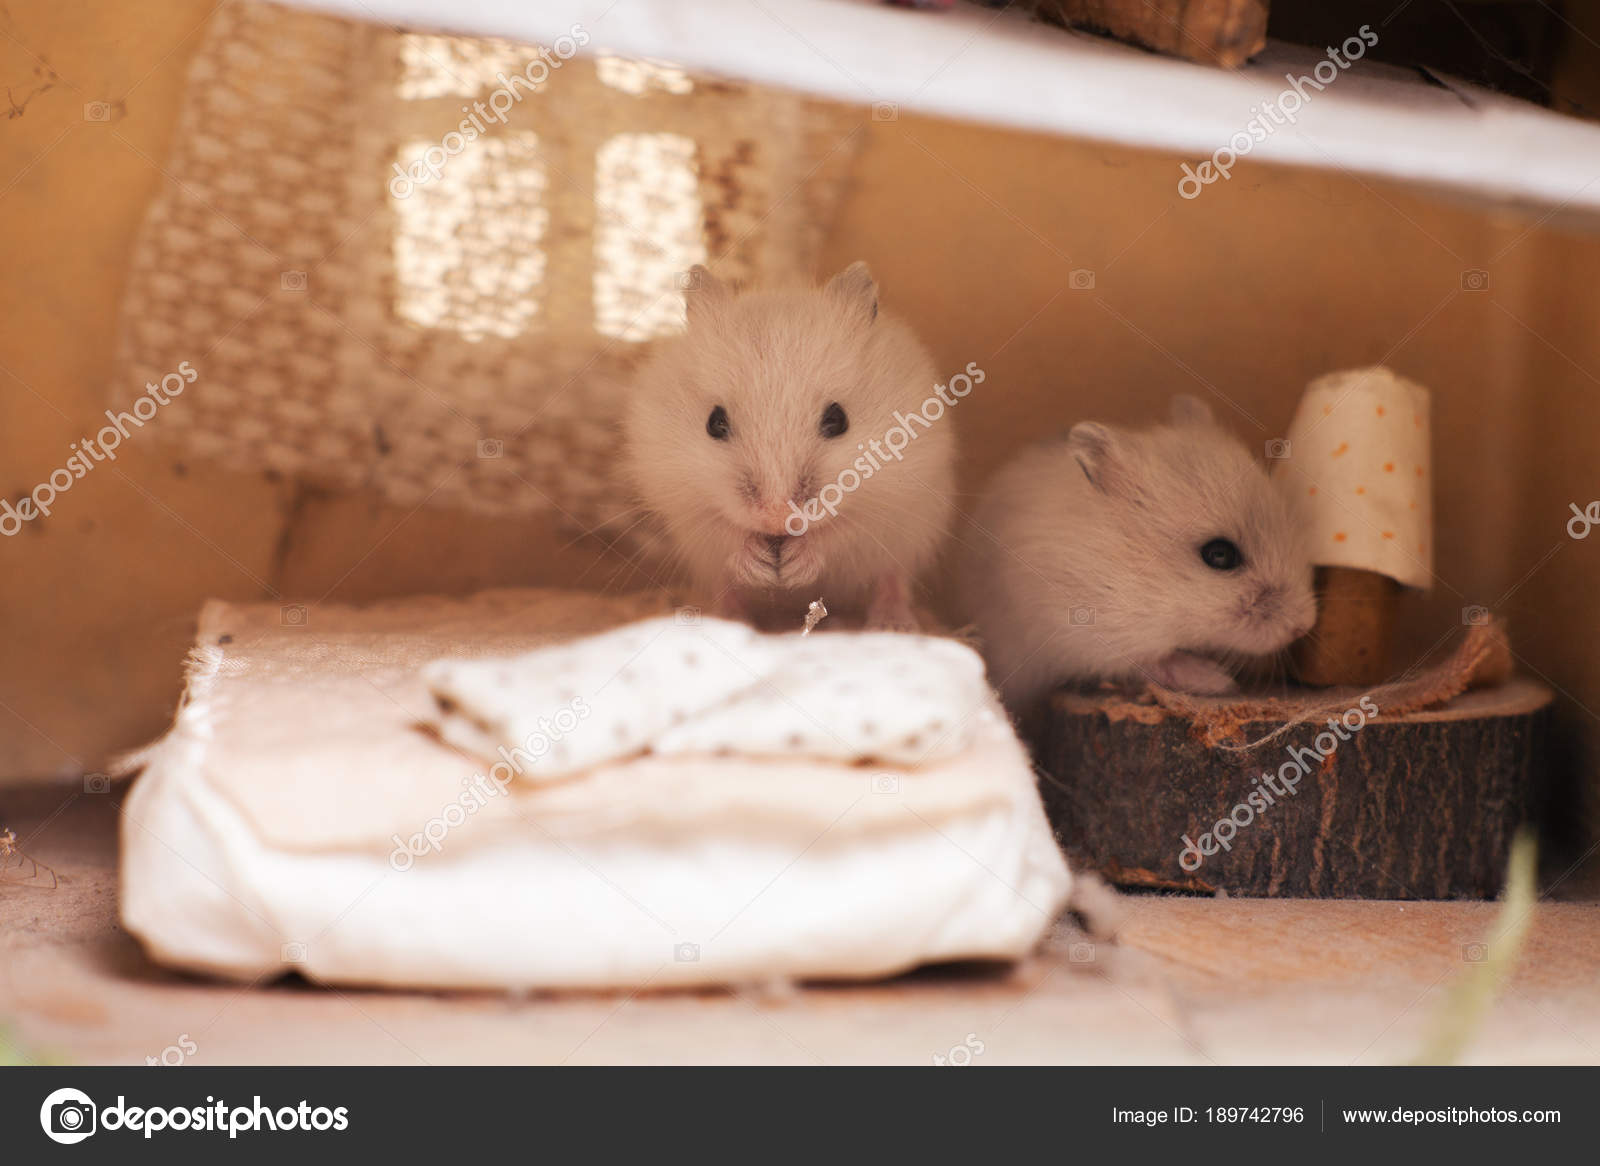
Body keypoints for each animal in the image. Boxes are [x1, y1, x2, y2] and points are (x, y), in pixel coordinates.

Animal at [623, 262, 955, 630]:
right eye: (714, 422)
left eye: (838, 419)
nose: (777, 518)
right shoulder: (685, 507)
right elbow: (725, 532)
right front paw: (759, 564)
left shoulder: (889, 505)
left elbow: (840, 533)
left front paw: (795, 565)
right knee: (727, 589)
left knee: (892, 579)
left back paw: (894, 624)